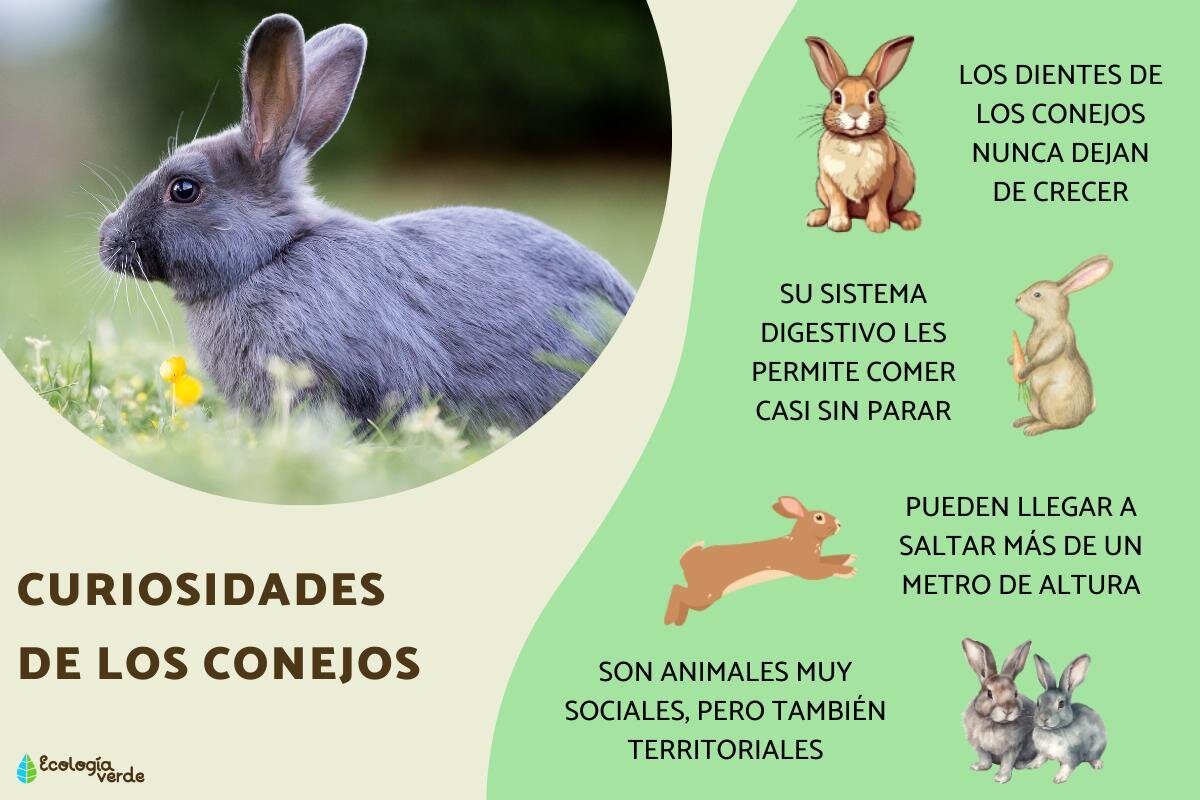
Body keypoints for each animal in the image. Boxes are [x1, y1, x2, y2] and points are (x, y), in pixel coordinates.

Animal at [663, 496, 855, 626]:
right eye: (819, 517)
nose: (839, 523)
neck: (800, 541)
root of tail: (688, 562)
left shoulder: (815, 561)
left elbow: (831, 559)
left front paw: (850, 557)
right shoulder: (807, 569)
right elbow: (826, 569)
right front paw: (850, 571)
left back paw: (679, 621)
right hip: (707, 592)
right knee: (677, 589)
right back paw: (669, 620)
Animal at [804, 36, 920, 233]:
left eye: (872, 96)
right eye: (837, 96)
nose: (855, 114)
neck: (854, 140)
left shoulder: (884, 178)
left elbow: (877, 200)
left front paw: (878, 226)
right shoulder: (828, 179)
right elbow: (837, 200)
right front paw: (838, 224)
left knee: (894, 210)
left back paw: (910, 220)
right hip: (819, 185)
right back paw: (816, 217)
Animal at [962, 638, 1038, 783]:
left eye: (1015, 693)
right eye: (989, 693)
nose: (1008, 710)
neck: (994, 723)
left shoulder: (1014, 746)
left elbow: (1007, 762)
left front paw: (1001, 778)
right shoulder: (979, 746)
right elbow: (985, 759)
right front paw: (978, 767)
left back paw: (1022, 764)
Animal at [1010, 255, 1112, 436]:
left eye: (1037, 294)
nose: (1017, 298)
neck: (1048, 320)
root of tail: (1084, 414)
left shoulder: (1057, 339)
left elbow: (1042, 355)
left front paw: (1022, 371)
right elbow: (1025, 348)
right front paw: (1010, 359)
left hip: (1051, 397)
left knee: (1055, 424)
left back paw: (1032, 430)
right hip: (1033, 402)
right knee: (1039, 417)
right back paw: (1021, 422)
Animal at [1028, 654, 1107, 783]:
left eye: (1061, 704)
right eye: (1038, 702)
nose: (1044, 718)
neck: (1052, 732)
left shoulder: (1072, 756)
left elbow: (1068, 766)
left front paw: (1059, 778)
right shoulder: (1043, 753)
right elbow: (1040, 758)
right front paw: (1031, 765)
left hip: (1096, 748)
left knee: (1093, 757)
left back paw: (1098, 764)